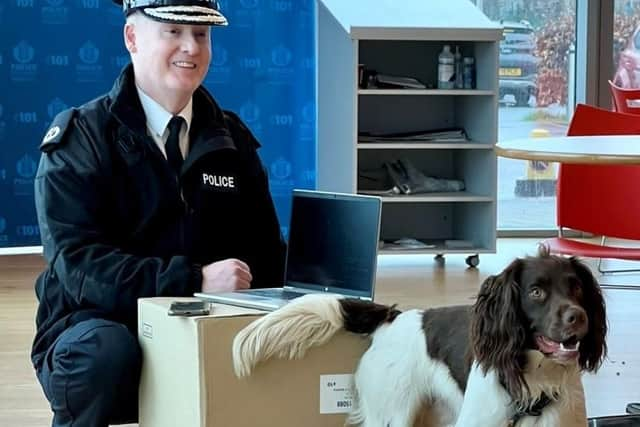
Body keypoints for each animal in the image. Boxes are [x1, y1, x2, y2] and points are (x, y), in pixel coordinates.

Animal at [231, 249, 604, 426]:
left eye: (576, 287)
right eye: (536, 291)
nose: (578, 317)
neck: (534, 384)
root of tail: (392, 317)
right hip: (392, 415)